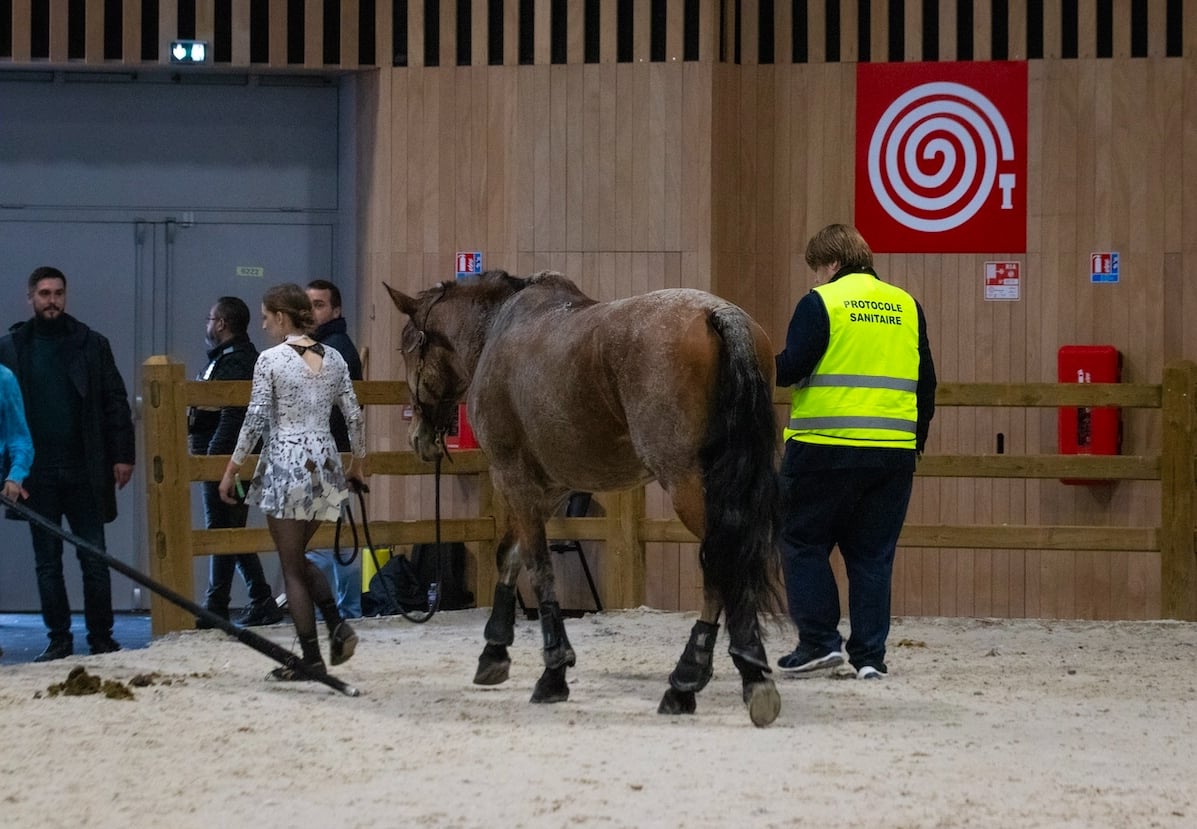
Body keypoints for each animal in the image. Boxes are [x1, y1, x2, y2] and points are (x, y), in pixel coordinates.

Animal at [383, 271, 790, 722]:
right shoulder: (548, 489)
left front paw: (553, 671)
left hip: (689, 488)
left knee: (722, 564)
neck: (500, 327)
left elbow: (538, 568)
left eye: (407, 346)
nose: (418, 437)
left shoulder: (513, 478)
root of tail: (716, 313)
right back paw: (718, 676)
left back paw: (701, 677)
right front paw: (494, 651)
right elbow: (510, 555)